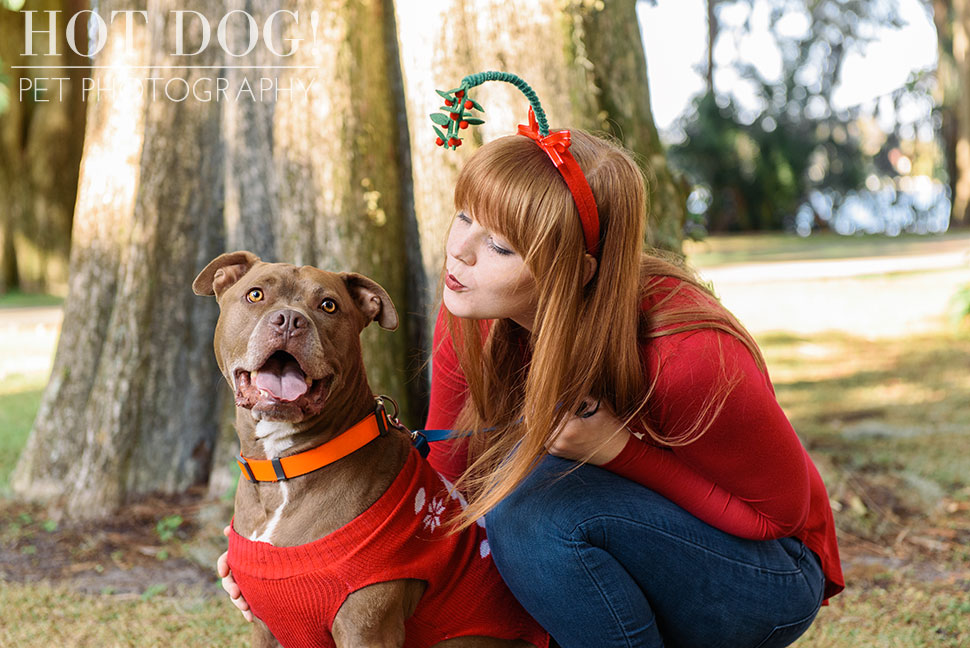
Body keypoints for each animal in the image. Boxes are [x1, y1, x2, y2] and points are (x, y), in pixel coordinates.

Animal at [193, 252, 548, 648]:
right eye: (255, 295)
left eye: (328, 305)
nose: (289, 320)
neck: (284, 468)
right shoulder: (264, 627)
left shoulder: (367, 627)